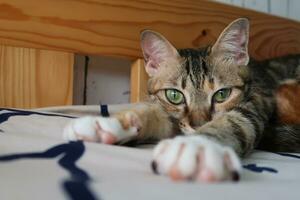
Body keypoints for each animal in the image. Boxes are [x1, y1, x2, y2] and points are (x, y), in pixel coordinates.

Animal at [63, 18, 300, 183]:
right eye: (174, 95)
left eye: (222, 94)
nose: (198, 125)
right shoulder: (171, 114)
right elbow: (154, 113)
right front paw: (110, 123)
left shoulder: (255, 103)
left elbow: (235, 122)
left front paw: (198, 146)